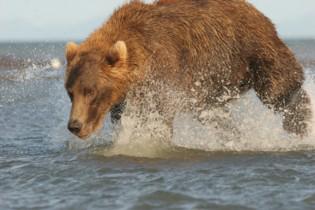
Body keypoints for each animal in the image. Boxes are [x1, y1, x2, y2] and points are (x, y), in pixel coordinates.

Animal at [65, 0, 312, 139]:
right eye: (70, 92)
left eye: (91, 91)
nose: (75, 125)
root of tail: (251, 7)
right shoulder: (125, 99)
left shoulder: (162, 73)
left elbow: (156, 116)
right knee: (215, 114)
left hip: (252, 47)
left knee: (280, 88)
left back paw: (300, 123)